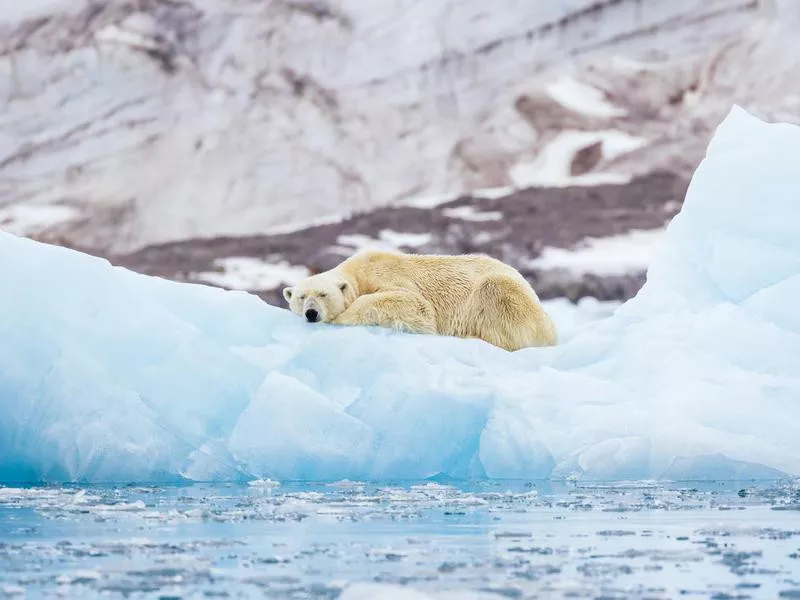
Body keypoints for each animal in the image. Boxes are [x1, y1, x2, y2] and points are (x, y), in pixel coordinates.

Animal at [282, 250, 556, 352]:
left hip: (508, 297)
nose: (311, 313)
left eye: (323, 294)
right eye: (301, 297)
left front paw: (343, 316)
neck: (358, 271)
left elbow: (415, 305)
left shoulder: (387, 275)